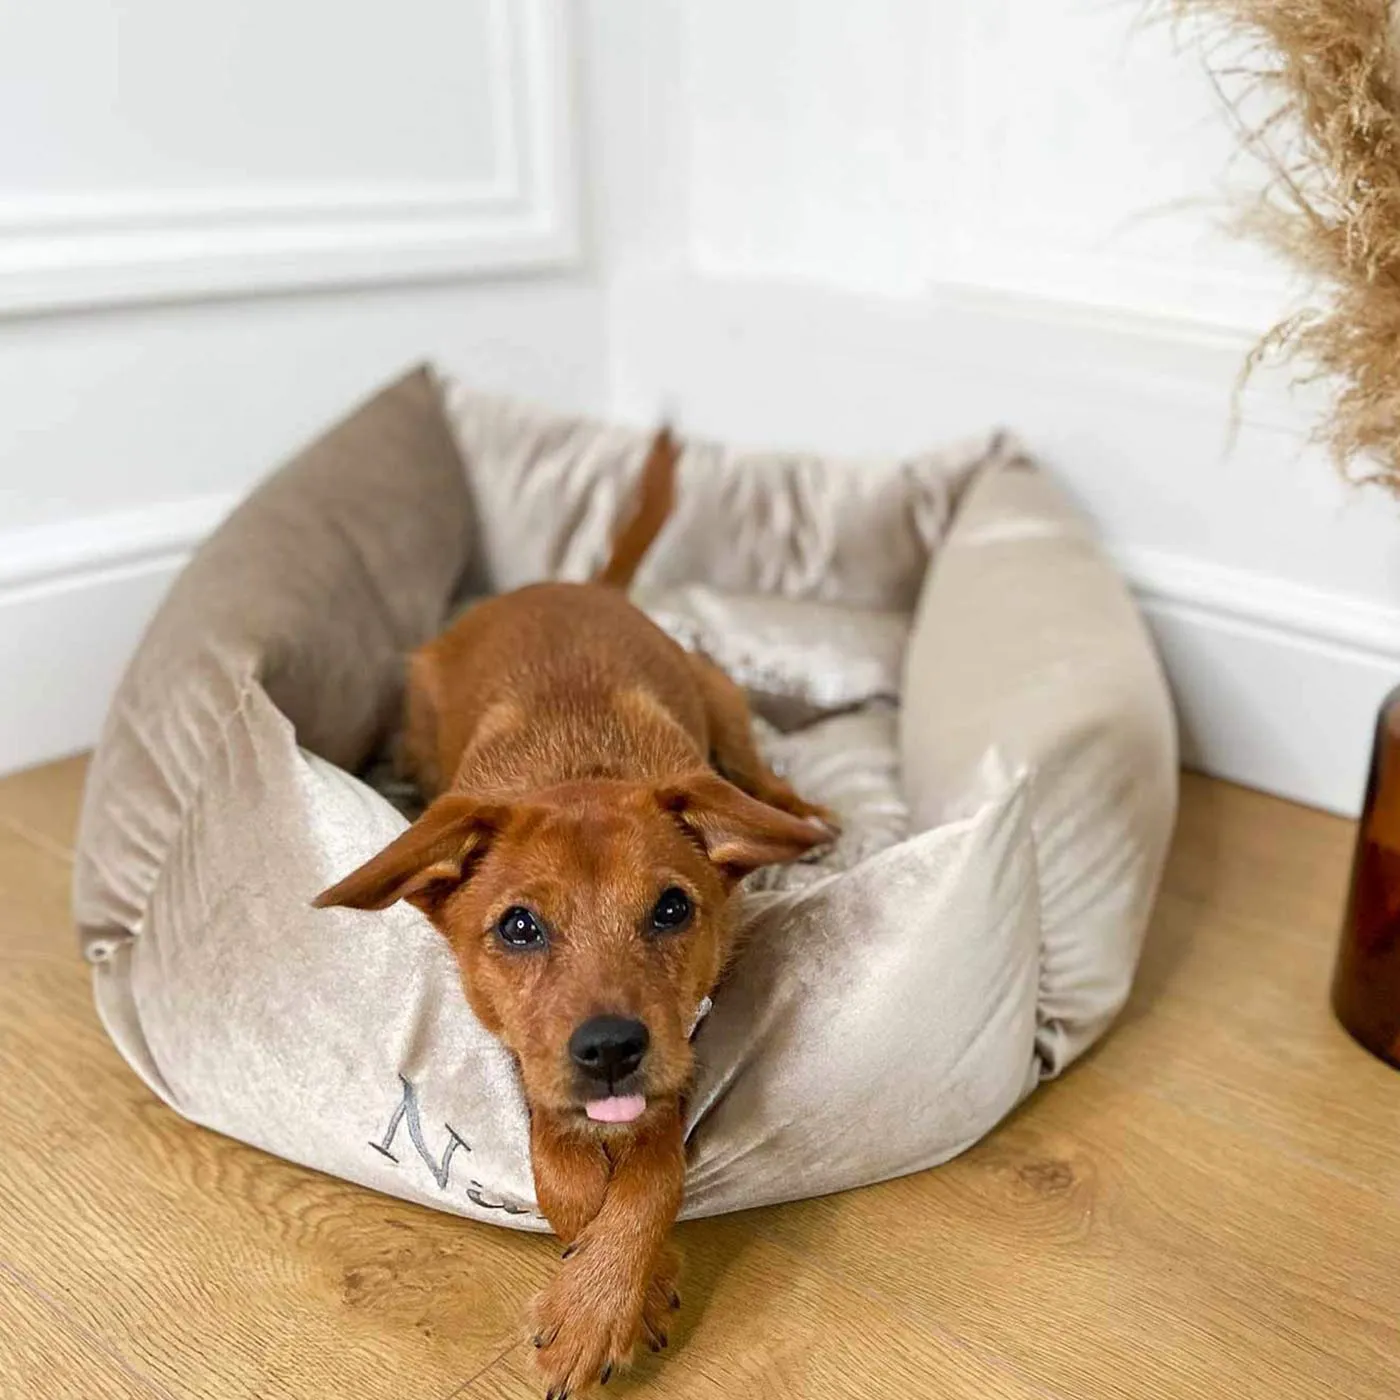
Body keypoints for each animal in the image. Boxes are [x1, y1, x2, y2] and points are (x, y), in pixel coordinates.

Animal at [317, 428, 828, 1400]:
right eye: (519, 927)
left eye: (672, 909)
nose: (610, 1050)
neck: (581, 761)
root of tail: (573, 582)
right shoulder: (534, 1062)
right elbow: (556, 1154)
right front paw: (612, 1278)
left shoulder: (683, 1039)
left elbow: (655, 1167)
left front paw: (615, 1288)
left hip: (723, 698)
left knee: (760, 776)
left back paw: (806, 815)